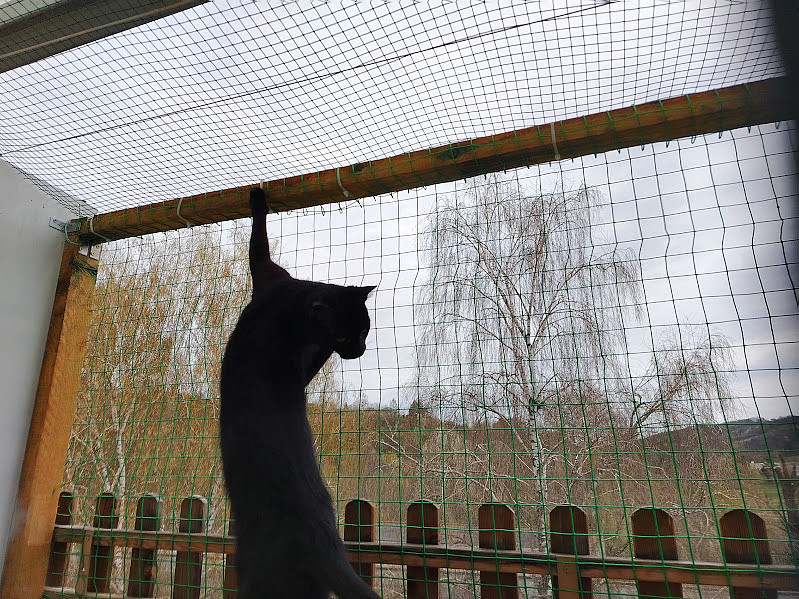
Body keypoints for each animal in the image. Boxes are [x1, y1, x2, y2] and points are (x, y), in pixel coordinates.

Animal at [220, 187, 379, 599]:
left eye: (364, 331)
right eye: (345, 337)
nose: (359, 351)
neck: (289, 302)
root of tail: (324, 542)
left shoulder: (269, 274)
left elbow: (257, 240)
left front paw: (257, 198)